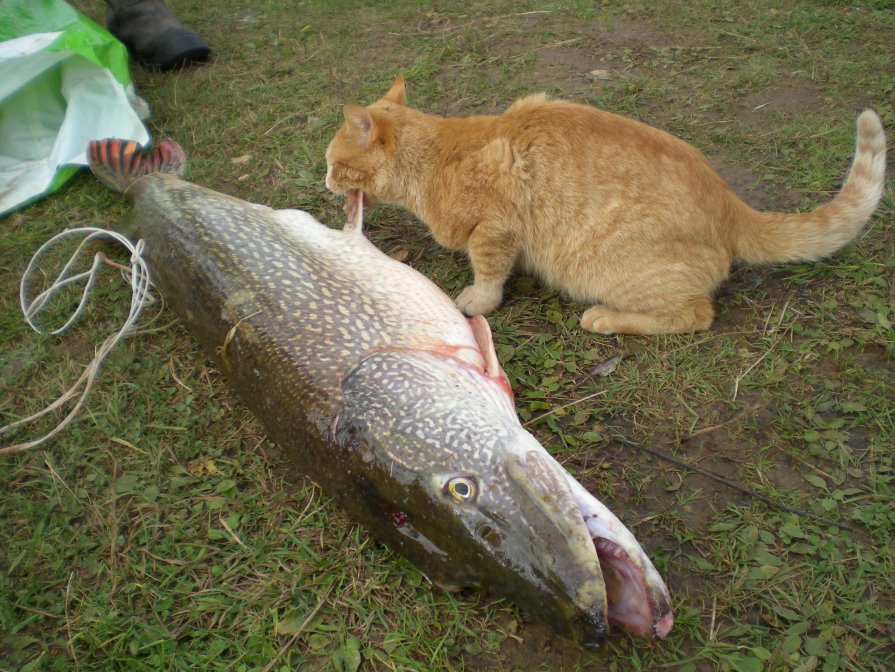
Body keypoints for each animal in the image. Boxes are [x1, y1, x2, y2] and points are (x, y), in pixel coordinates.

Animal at [324, 77, 888, 336]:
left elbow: (487, 275)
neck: (435, 156)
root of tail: (729, 202)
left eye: (331, 163)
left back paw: (606, 318)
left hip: (612, 269)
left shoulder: (494, 229)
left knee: (695, 314)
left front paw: (478, 301)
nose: (326, 181)